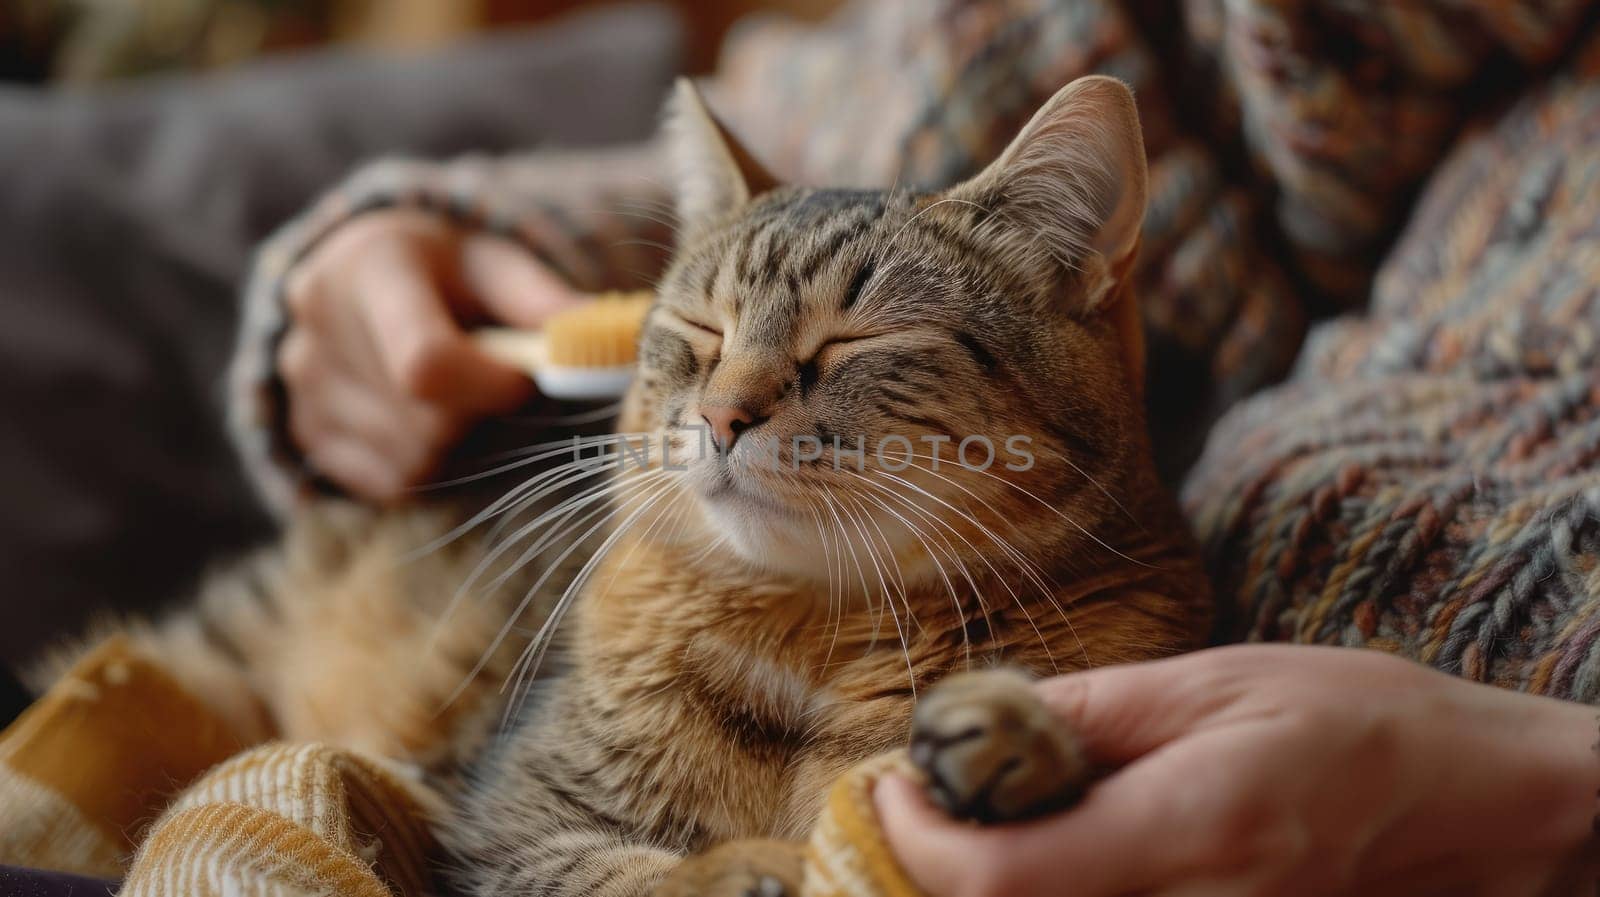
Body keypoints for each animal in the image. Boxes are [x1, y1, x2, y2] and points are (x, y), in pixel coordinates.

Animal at [31, 73, 1203, 889]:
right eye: (699, 328)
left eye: (857, 339)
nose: (725, 415)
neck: (815, 631)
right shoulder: (518, 822)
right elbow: (629, 875)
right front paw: (743, 870)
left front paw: (1018, 743)